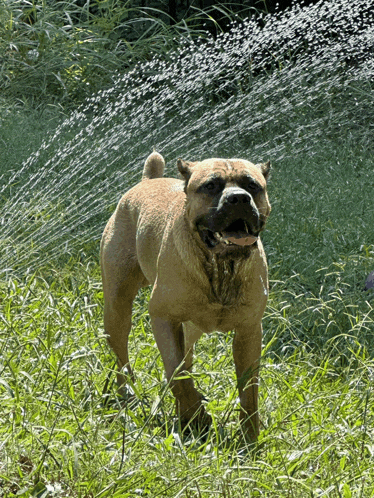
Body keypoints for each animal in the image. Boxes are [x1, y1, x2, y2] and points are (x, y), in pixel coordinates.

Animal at [101, 152, 272, 440]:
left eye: (252, 185)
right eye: (210, 186)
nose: (239, 198)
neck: (221, 267)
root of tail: (147, 180)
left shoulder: (249, 332)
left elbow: (249, 392)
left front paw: (249, 437)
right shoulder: (163, 318)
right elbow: (177, 375)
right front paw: (198, 417)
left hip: (190, 328)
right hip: (118, 308)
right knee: (122, 359)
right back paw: (127, 394)